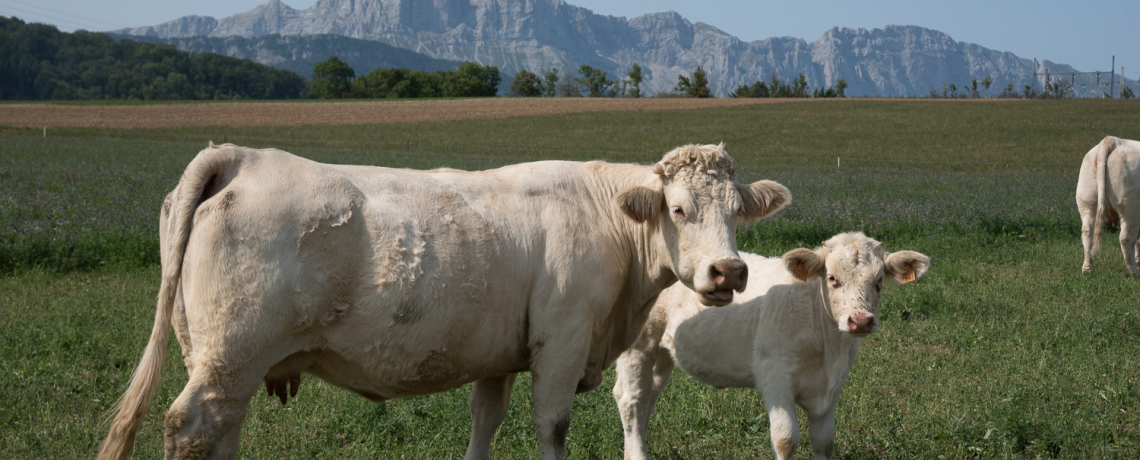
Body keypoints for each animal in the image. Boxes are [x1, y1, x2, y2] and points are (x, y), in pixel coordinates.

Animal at [100, 141, 793, 457]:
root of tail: (241, 154)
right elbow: (552, 426)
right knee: (191, 427)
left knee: (220, 429)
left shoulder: (497, 355)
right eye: (677, 209)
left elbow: (484, 422)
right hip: (232, 354)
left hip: (223, 361)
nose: (728, 271)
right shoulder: (562, 344)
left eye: (738, 212)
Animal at [615, 233, 925, 459]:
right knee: (631, 400)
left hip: (662, 354)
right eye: (832, 278)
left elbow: (824, 442)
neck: (828, 346)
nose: (860, 321)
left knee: (648, 397)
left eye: (879, 281)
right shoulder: (775, 378)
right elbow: (786, 439)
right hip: (638, 344)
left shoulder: (833, 385)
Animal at [1076, 134, 1140, 274]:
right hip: (1129, 207)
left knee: (1087, 233)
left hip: (1087, 201)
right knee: (1126, 238)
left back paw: (1088, 269)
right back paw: (1132, 271)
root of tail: (1112, 140)